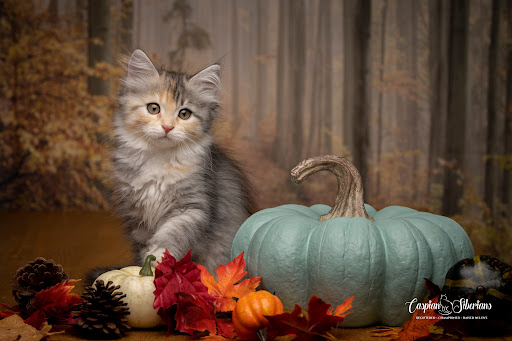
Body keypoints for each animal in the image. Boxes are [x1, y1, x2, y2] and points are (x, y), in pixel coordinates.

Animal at [112, 49, 256, 272]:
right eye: (154, 108)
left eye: (184, 114)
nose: (167, 127)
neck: (159, 160)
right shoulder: (138, 215)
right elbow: (144, 244)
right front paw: (145, 269)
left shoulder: (192, 207)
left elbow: (171, 236)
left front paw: (157, 259)